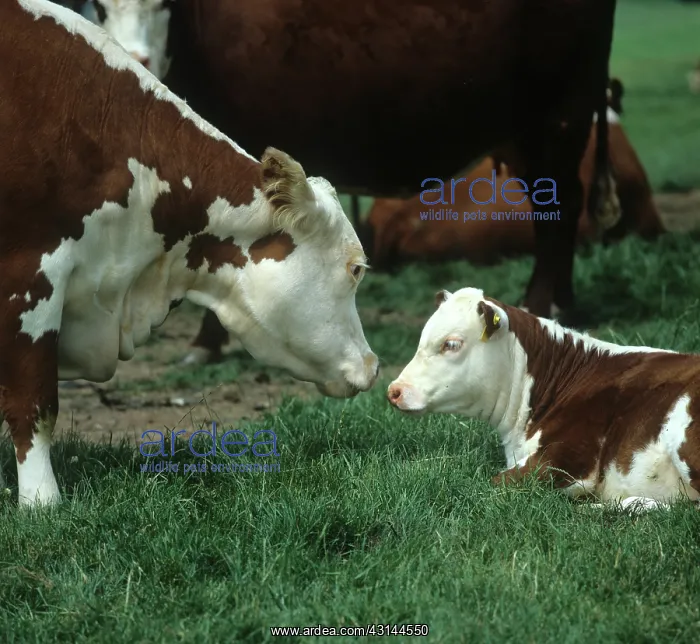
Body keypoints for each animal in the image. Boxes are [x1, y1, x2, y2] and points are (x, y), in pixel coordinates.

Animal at [73, 0, 621, 364]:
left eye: (164, 3)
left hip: (561, 116)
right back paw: (563, 303)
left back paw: (539, 304)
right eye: (99, 4)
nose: (136, 57)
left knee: (559, 212)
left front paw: (207, 341)